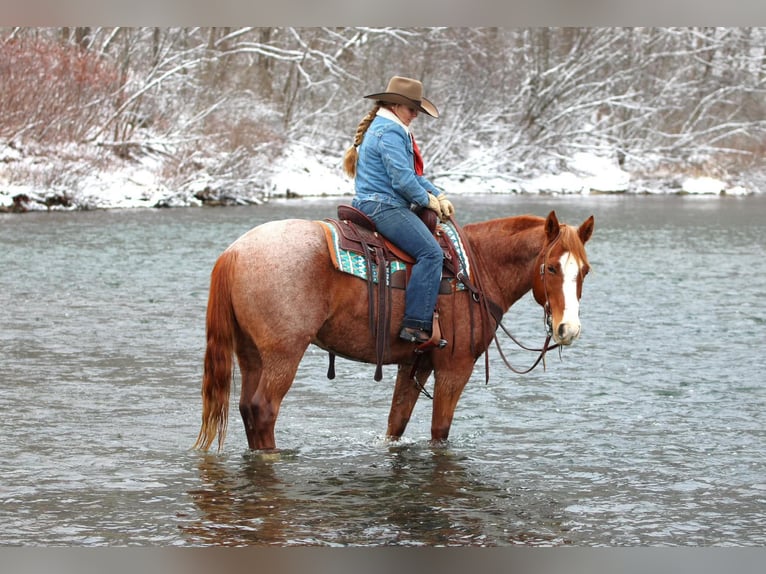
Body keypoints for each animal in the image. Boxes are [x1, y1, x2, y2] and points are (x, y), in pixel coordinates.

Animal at [193, 209, 594, 451]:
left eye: (585, 269)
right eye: (551, 268)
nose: (568, 329)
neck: (478, 267)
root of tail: (234, 252)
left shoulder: (415, 363)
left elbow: (396, 424)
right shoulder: (454, 368)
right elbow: (439, 432)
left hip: (251, 354)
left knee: (246, 408)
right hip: (284, 353)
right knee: (263, 409)